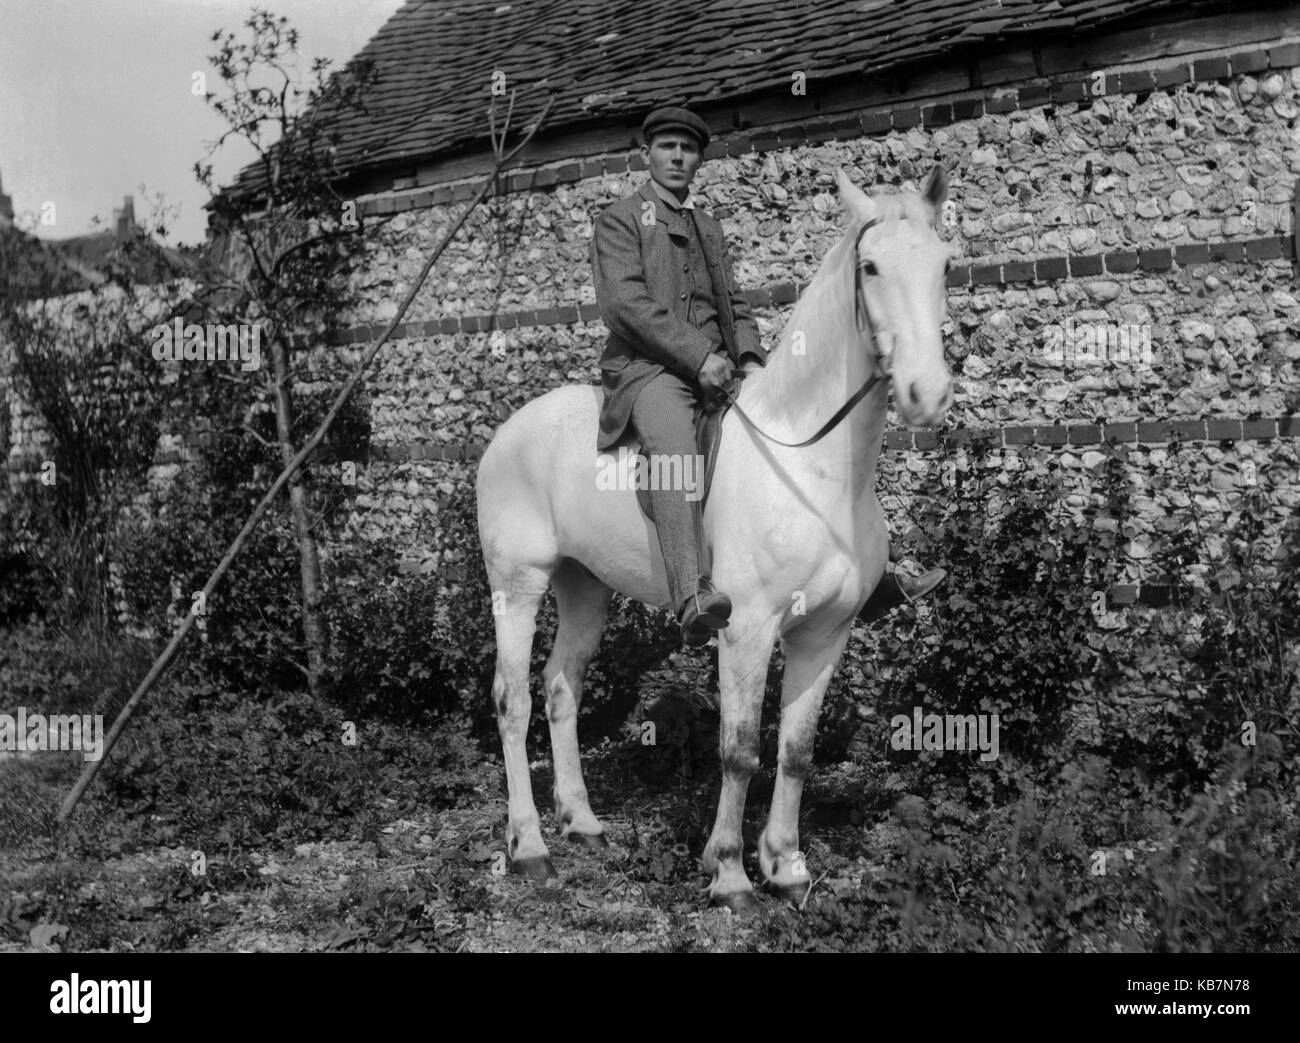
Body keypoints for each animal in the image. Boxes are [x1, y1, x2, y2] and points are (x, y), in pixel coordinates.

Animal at [475, 165, 956, 911]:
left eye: (943, 265)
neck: (810, 465)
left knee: (560, 688)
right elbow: (739, 749)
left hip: (584, 588)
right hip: (517, 586)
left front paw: (786, 865)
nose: (927, 394)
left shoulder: (825, 633)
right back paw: (529, 846)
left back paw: (582, 820)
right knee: (513, 698)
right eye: (871, 267)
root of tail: (506, 432)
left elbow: (796, 750)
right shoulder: (747, 628)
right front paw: (729, 871)